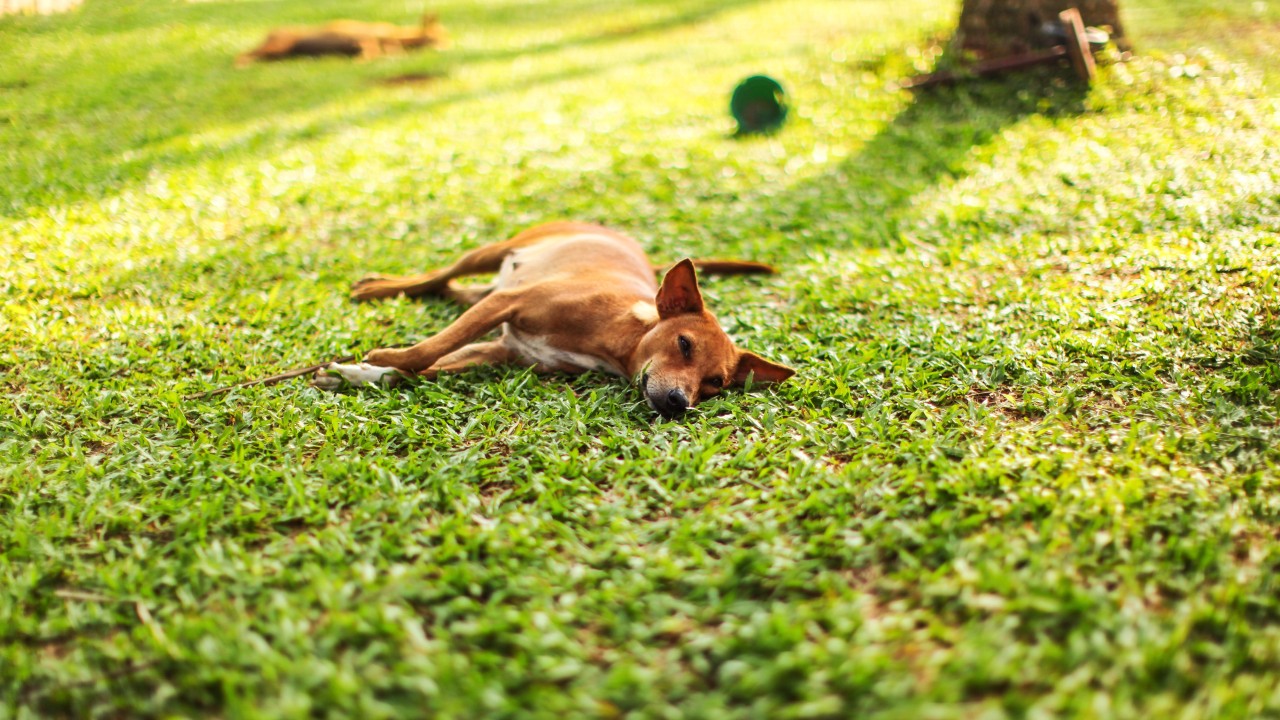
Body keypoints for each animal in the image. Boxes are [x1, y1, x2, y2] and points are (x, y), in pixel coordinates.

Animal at [312, 220, 788, 415]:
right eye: (684, 343)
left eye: (716, 384)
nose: (678, 404)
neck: (616, 332)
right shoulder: (509, 303)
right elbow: (426, 351)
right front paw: (382, 358)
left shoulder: (501, 350)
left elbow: (421, 370)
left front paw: (354, 375)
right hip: (488, 253)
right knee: (436, 278)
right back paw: (379, 287)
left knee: (451, 289)